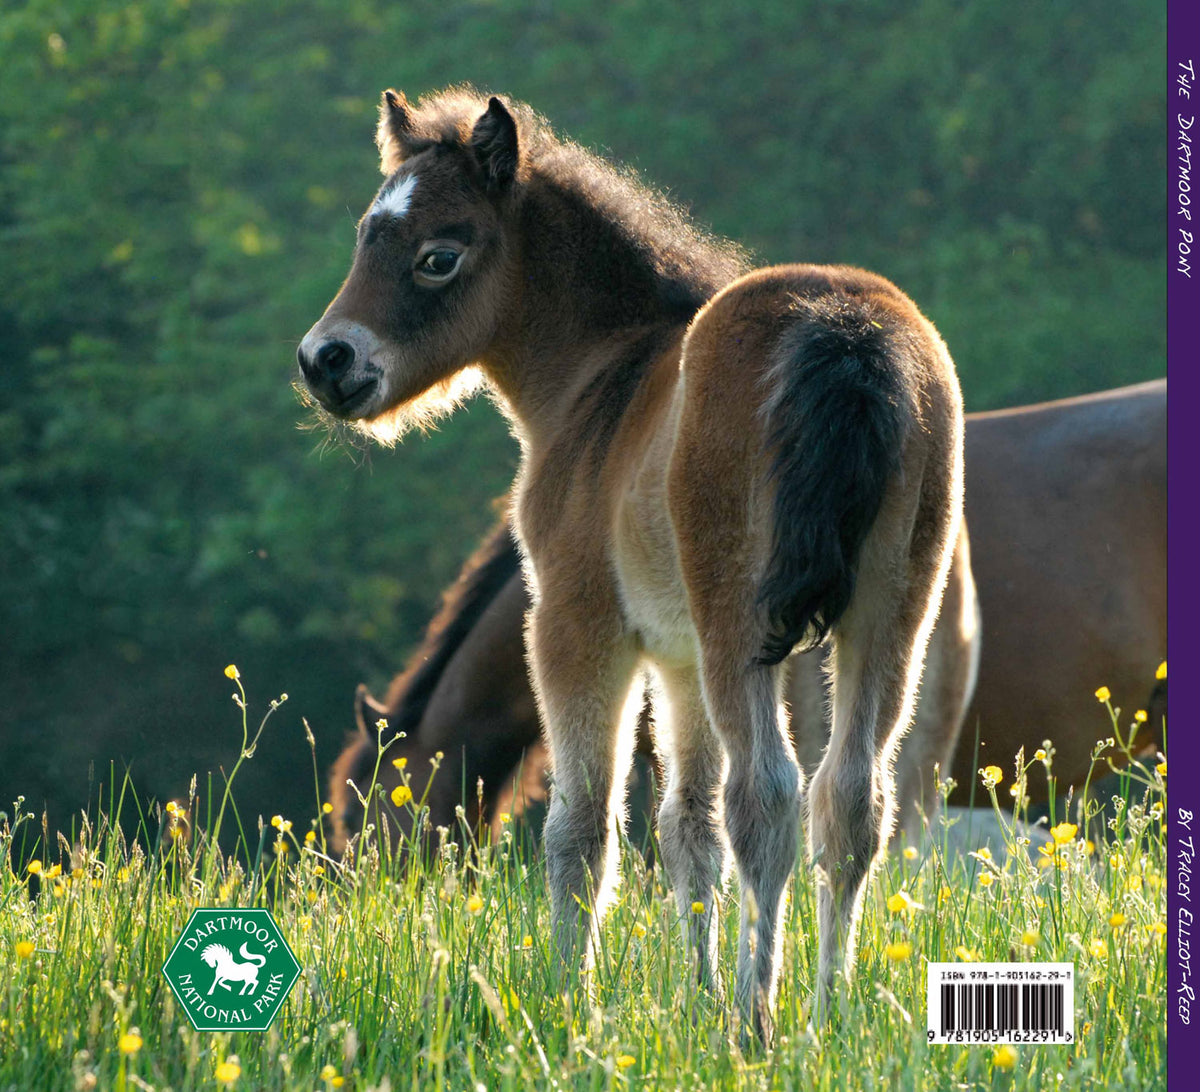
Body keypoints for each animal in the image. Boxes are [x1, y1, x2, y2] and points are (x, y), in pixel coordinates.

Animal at [298, 87, 965, 1037]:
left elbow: (582, 829)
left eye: (438, 256)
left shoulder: (577, 627)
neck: (600, 384)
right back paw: (827, 1015)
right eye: (367, 233)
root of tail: (844, 334)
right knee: (848, 799)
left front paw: (566, 1001)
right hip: (891, 614)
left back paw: (757, 1020)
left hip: (741, 621)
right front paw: (695, 994)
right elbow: (688, 832)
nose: (327, 361)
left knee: (769, 795)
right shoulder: (678, 660)